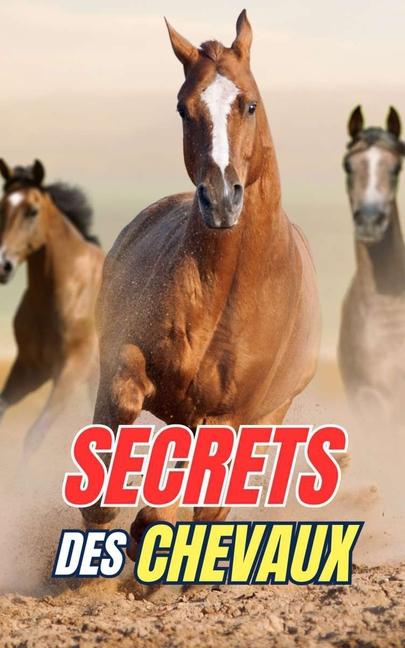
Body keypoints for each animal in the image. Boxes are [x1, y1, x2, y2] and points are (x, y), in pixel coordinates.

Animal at [0, 159, 104, 455]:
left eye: (32, 211)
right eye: (2, 207)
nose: (3, 265)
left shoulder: (71, 371)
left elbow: (34, 435)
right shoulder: (30, 368)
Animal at [81, 11, 320, 559]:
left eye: (249, 104)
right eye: (183, 108)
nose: (221, 199)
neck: (225, 291)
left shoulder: (228, 414)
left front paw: (150, 527)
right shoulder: (126, 355)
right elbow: (122, 399)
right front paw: (107, 511)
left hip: (264, 416)